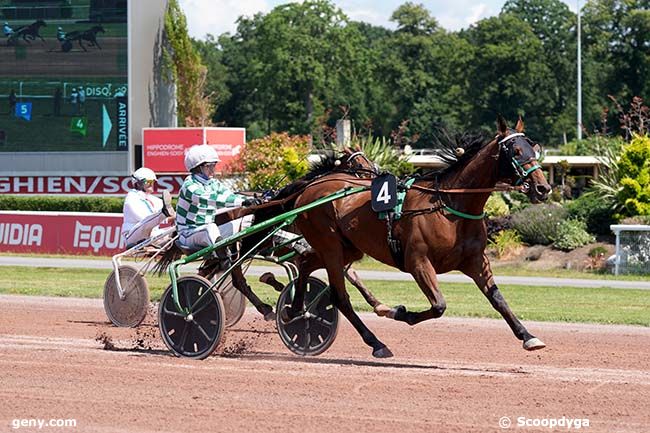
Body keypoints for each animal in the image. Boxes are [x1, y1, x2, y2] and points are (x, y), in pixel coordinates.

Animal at [286, 116, 548, 356]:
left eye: (533, 148)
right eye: (516, 151)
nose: (543, 188)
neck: (449, 206)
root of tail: (310, 188)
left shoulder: (475, 261)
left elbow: (498, 299)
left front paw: (528, 336)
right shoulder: (418, 261)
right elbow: (439, 305)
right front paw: (398, 312)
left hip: (348, 247)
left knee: (306, 262)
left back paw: (295, 309)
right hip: (330, 245)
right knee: (339, 296)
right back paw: (374, 343)